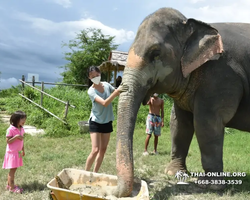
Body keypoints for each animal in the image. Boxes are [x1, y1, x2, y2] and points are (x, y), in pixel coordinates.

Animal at [114, 7, 250, 197]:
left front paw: (210, 186)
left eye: (155, 54)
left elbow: (206, 124)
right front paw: (174, 173)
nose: (117, 191)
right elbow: (179, 123)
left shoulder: (221, 75)